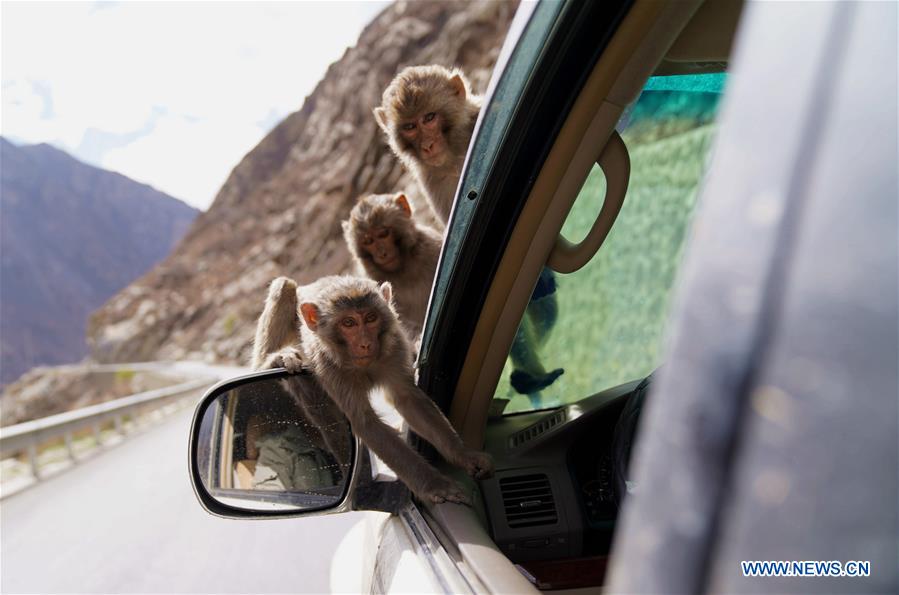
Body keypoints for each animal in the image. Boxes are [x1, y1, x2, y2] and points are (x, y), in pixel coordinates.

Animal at [253, 275, 494, 504]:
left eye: (370, 318)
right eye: (348, 323)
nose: (365, 344)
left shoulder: (395, 345)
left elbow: (408, 399)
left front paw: (464, 455)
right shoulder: (326, 364)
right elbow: (364, 421)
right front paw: (436, 486)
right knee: (284, 287)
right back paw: (274, 360)